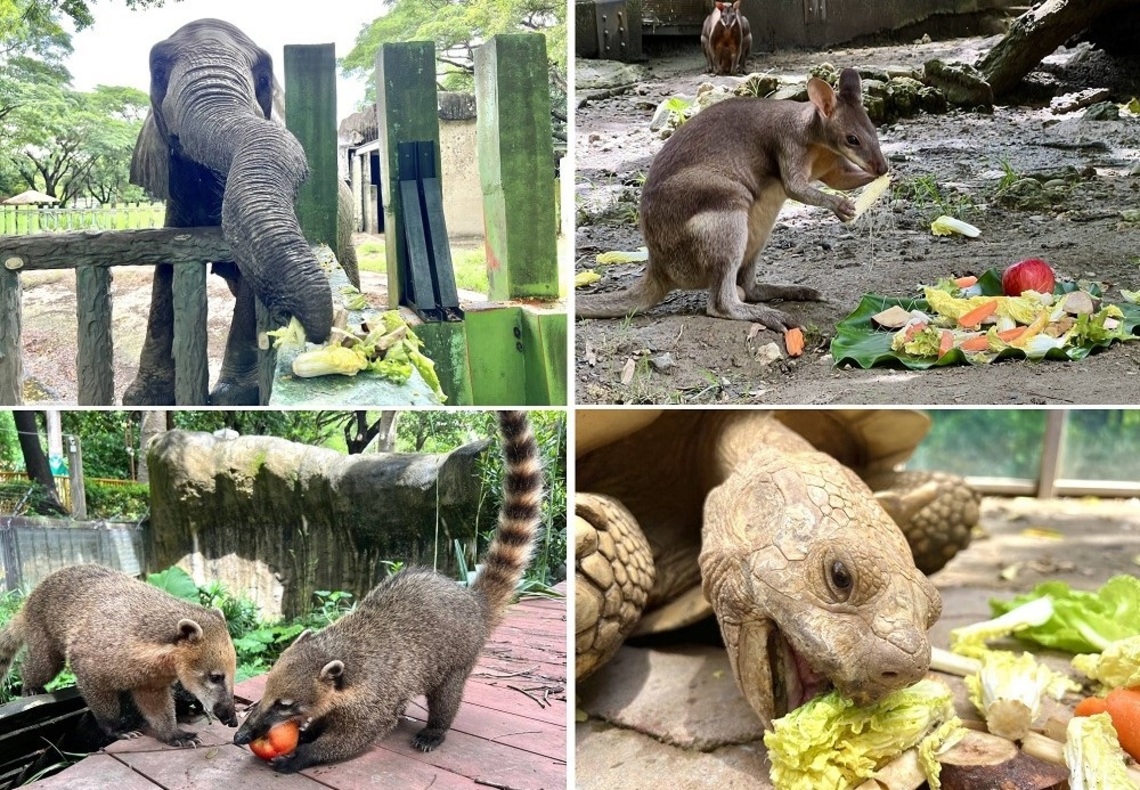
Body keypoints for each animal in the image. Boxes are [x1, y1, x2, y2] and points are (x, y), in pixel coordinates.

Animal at [125, 18, 359, 406]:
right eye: (158, 71)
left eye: (263, 77)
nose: (320, 332)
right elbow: (166, 267)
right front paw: (147, 398)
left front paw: (236, 395)